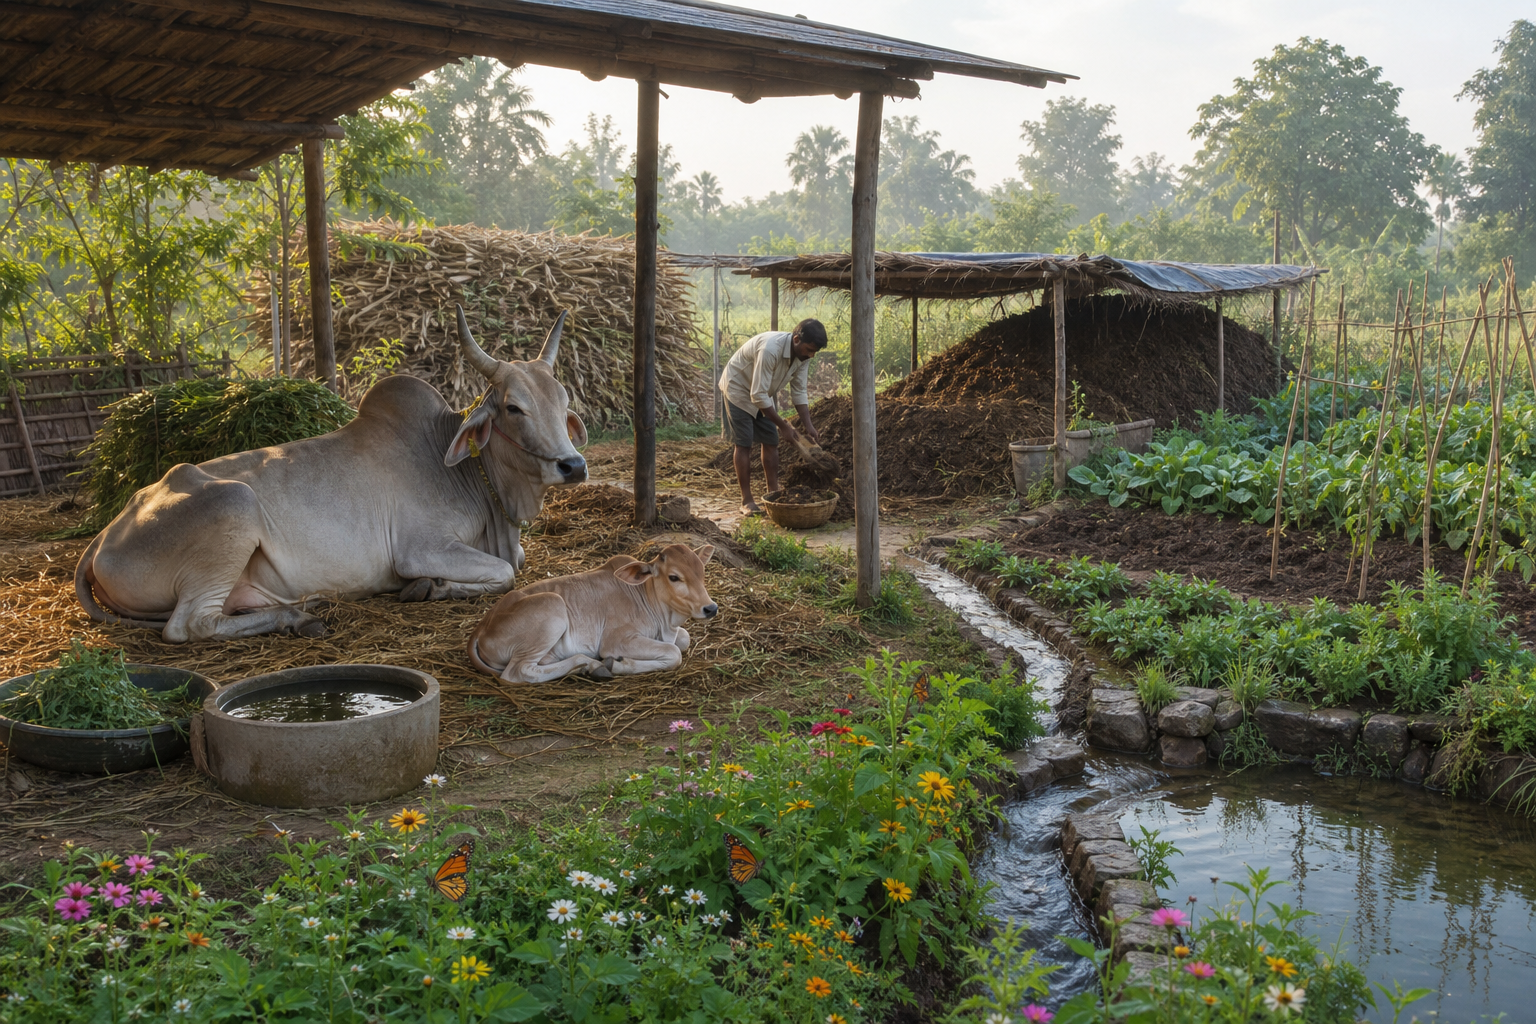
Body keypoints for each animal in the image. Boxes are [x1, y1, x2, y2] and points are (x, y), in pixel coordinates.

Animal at [74, 306, 588, 642]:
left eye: (563, 401)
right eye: (513, 407)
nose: (574, 465)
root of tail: (105, 536)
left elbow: (513, 565)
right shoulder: (421, 548)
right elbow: (504, 573)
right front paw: (430, 587)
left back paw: (304, 607)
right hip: (232, 505)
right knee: (189, 626)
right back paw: (297, 618)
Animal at [467, 543, 718, 684]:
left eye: (702, 572)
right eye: (674, 577)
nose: (711, 608)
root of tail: (481, 628)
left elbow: (683, 640)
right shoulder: (617, 640)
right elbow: (674, 653)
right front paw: (618, 664)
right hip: (552, 607)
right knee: (518, 672)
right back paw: (592, 665)